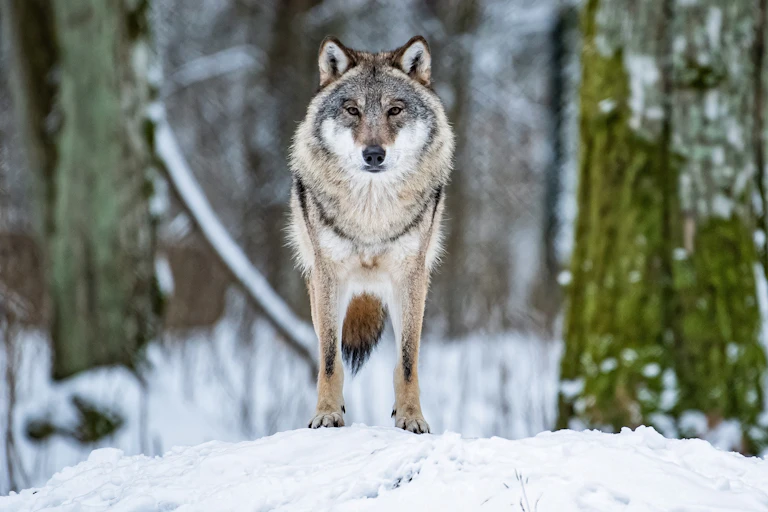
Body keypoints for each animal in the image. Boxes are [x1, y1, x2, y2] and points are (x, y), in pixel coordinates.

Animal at [288, 35, 454, 434]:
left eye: (394, 110)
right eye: (352, 110)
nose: (374, 154)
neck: (371, 215)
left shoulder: (411, 278)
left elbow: (407, 361)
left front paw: (412, 418)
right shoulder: (328, 276)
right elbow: (329, 358)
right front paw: (327, 414)